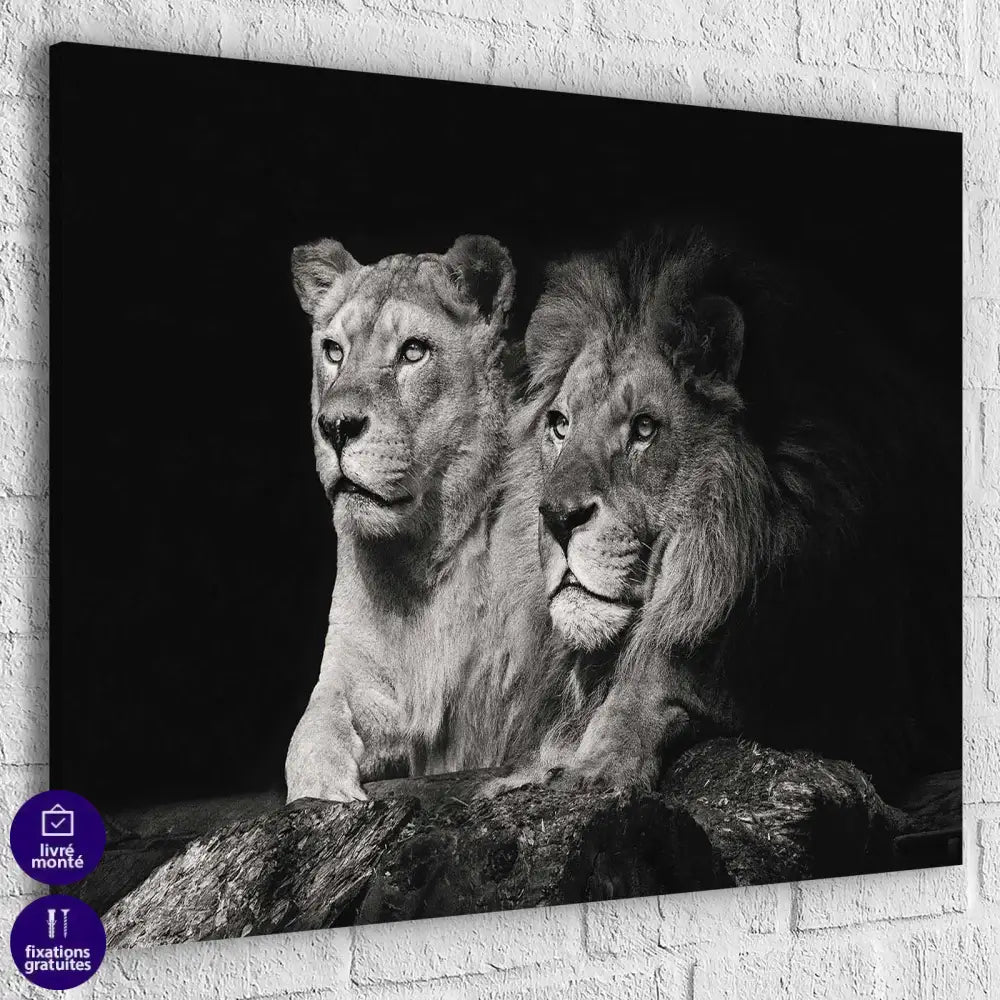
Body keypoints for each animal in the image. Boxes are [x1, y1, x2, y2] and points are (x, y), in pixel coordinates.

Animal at [284, 235, 569, 802]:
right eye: (334, 351)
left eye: (413, 351)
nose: (335, 426)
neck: (422, 556)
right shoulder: (354, 672)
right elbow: (309, 732)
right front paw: (326, 791)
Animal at [500, 226, 958, 796]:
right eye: (560, 425)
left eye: (644, 429)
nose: (558, 517)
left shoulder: (866, 707)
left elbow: (665, 668)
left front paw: (594, 761)